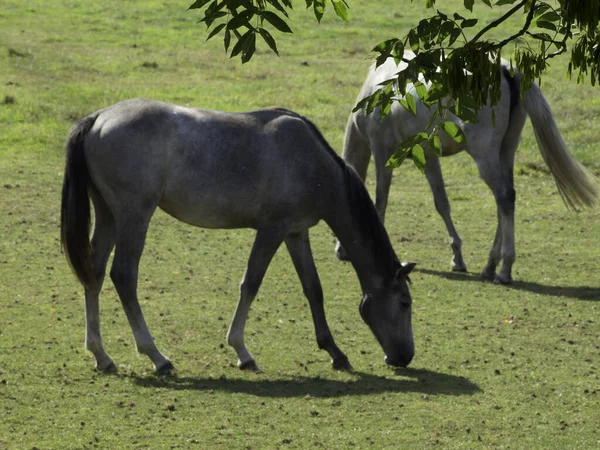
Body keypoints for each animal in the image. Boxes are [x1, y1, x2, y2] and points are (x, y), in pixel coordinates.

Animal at [61, 99, 418, 376]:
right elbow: (251, 283)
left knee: (94, 274)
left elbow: (313, 289)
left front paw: (335, 352)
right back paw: (157, 356)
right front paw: (242, 351)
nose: (404, 357)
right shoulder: (272, 230)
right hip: (134, 217)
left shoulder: (296, 232)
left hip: (108, 216)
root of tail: (99, 118)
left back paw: (102, 356)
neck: (313, 163)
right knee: (123, 276)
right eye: (404, 302)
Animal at [336, 52, 596, 284]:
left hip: (485, 156)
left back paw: (504, 270)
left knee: (504, 196)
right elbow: (441, 203)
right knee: (505, 201)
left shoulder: (382, 152)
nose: (340, 251)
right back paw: (490, 266)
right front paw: (457, 258)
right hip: (505, 153)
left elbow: (381, 201)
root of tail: (504, 69)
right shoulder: (429, 157)